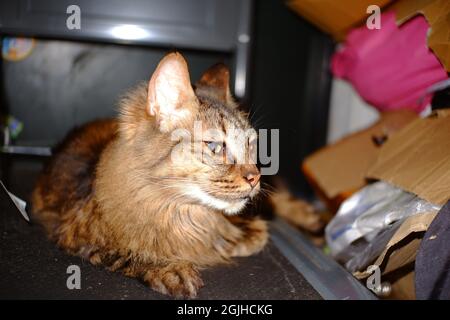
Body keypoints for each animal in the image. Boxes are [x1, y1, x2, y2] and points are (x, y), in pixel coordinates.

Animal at [34, 52, 270, 298]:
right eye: (214, 146)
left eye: (250, 144)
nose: (255, 178)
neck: (181, 214)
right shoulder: (74, 234)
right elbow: (130, 252)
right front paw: (171, 268)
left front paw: (241, 235)